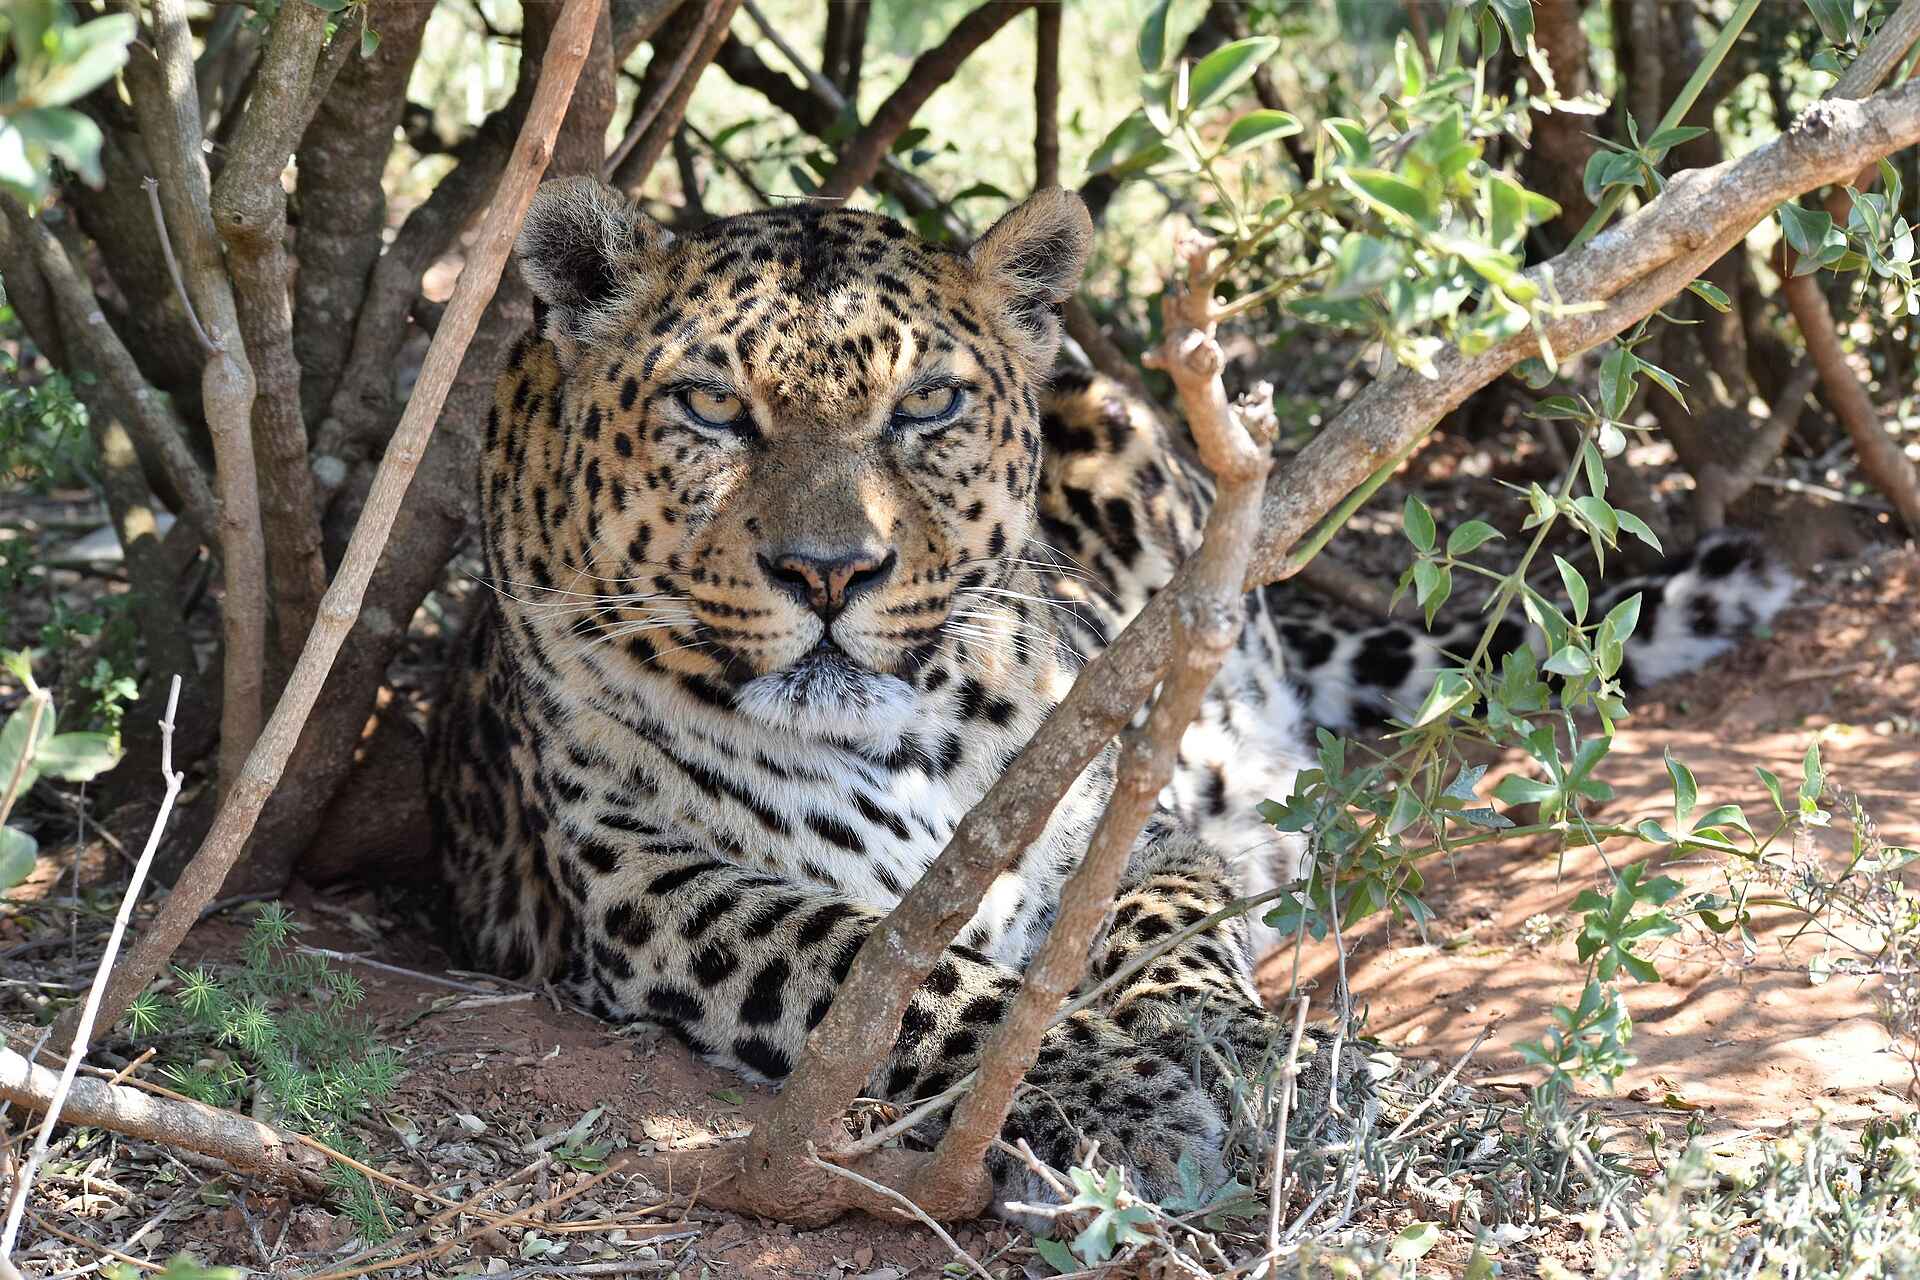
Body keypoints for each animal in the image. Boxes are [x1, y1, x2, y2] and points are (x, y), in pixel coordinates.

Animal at [427, 177, 1793, 1217]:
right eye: (712, 406)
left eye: (927, 404)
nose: (830, 571)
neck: (900, 738)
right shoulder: (648, 885)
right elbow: (879, 965)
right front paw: (1120, 1096)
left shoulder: (1130, 813)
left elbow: (1166, 920)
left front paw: (1240, 1051)